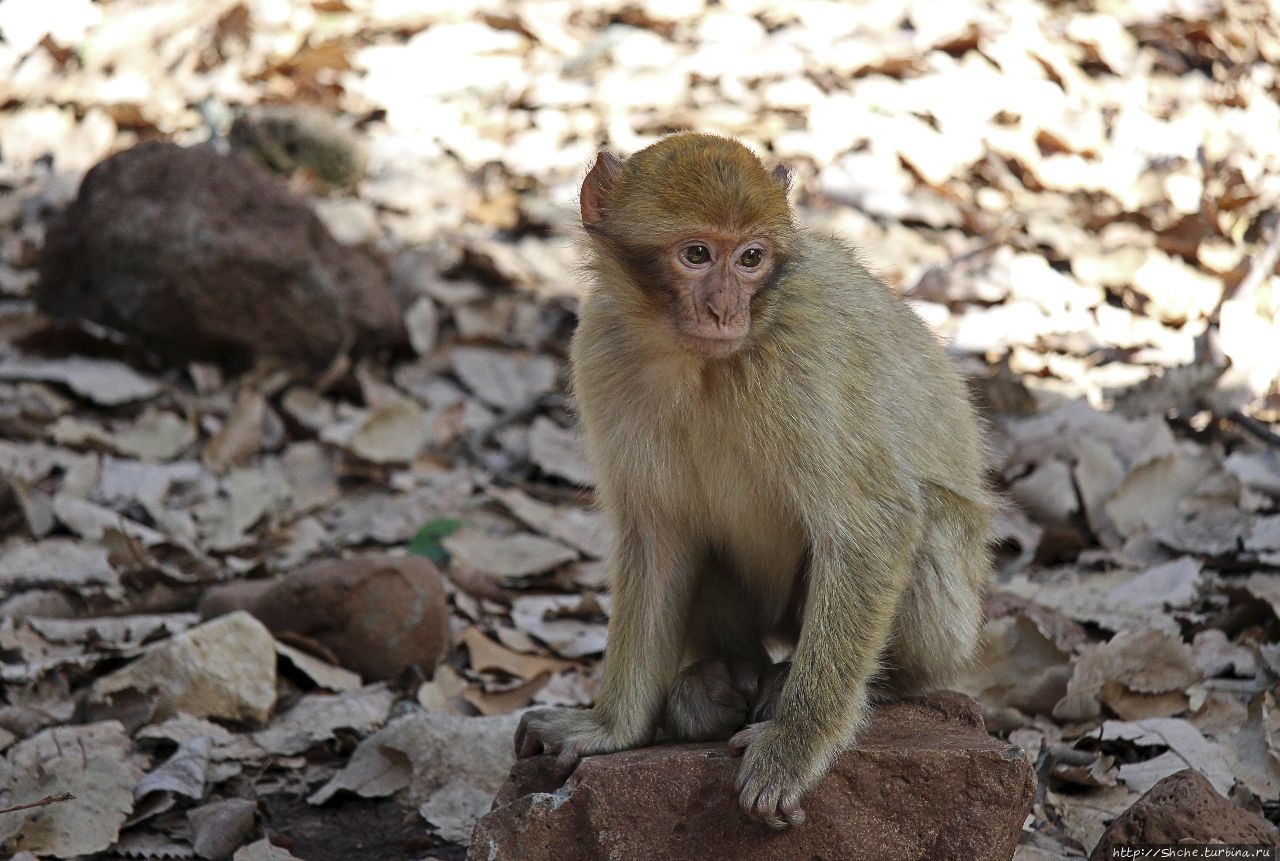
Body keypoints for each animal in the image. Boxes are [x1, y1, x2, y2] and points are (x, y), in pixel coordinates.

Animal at [509, 132, 988, 823]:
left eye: (751, 258)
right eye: (697, 254)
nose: (724, 309)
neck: (700, 362)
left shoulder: (807, 356)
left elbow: (874, 525)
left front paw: (795, 743)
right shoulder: (601, 348)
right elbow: (658, 537)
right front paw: (610, 729)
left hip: (953, 630)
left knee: (926, 525)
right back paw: (722, 679)